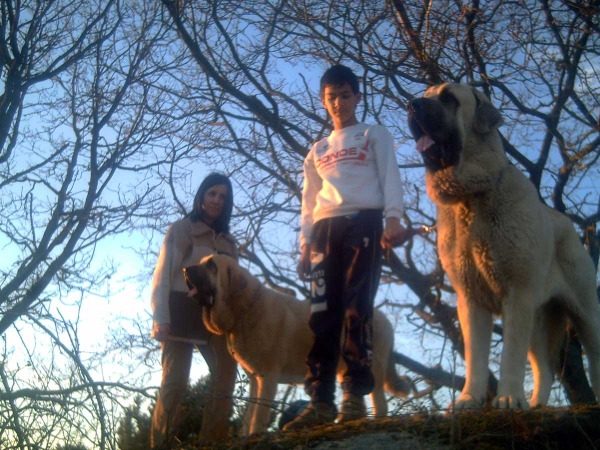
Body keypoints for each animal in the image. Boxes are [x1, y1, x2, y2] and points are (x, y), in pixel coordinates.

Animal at [185, 253, 410, 432]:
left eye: (211, 265)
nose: (185, 269)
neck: (245, 308)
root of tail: (384, 319)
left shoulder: (268, 377)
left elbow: (258, 415)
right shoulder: (256, 379)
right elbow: (249, 415)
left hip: (373, 369)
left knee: (380, 402)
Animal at [408, 82, 600, 410]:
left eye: (448, 97)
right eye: (426, 94)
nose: (411, 104)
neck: (471, 197)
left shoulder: (516, 294)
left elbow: (511, 353)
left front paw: (509, 397)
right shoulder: (471, 300)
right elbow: (475, 355)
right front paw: (469, 399)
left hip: (584, 309)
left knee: (594, 353)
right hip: (538, 319)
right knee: (545, 369)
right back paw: (536, 405)